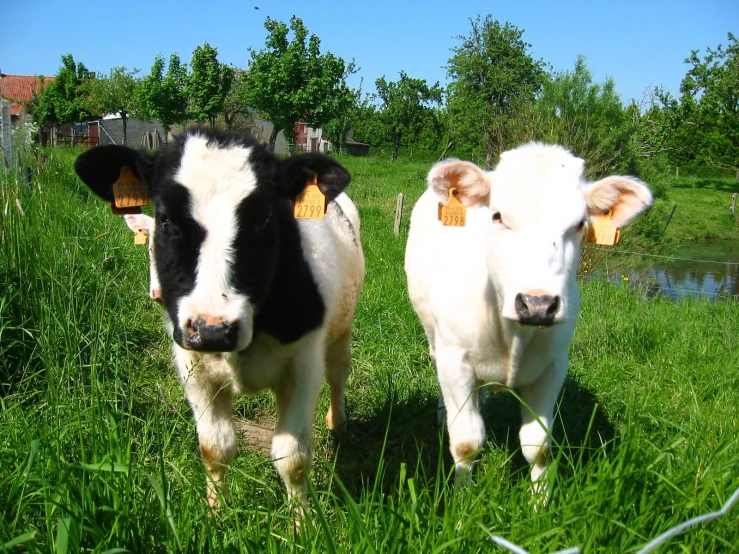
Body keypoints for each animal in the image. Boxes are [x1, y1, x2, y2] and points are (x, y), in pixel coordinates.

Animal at [73, 128, 366, 508]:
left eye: (263, 219)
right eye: (165, 219)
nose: (212, 330)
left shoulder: (303, 365)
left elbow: (293, 458)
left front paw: (303, 520)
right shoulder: (193, 368)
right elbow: (215, 448)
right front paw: (217, 512)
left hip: (341, 329)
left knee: (338, 373)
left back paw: (338, 422)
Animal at [404, 142, 652, 488]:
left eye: (579, 224)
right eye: (497, 215)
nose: (537, 304)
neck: (511, 334)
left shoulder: (553, 366)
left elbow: (539, 447)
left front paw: (540, 498)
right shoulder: (455, 360)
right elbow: (466, 443)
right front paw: (462, 496)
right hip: (434, 337)